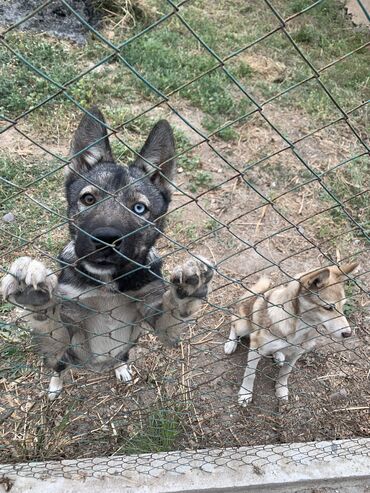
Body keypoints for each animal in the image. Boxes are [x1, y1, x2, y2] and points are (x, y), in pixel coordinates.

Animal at [1, 107, 212, 400]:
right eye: (88, 199)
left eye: (139, 208)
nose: (105, 241)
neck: (107, 283)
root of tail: (97, 367)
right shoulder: (69, 328)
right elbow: (51, 324)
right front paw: (34, 294)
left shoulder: (157, 321)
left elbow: (172, 313)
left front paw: (187, 289)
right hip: (64, 357)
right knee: (58, 365)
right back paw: (55, 385)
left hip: (128, 345)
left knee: (121, 356)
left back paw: (120, 368)